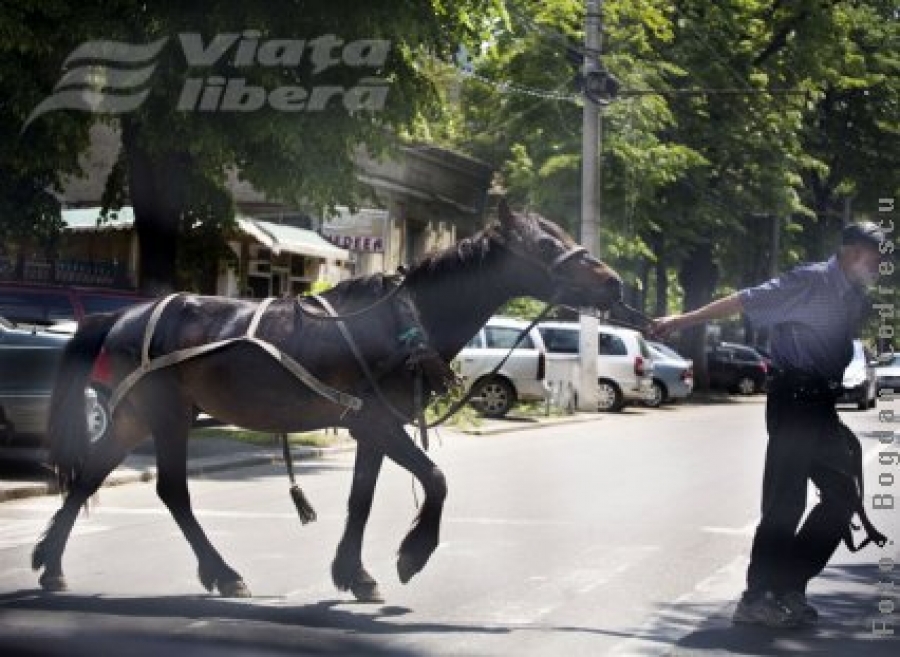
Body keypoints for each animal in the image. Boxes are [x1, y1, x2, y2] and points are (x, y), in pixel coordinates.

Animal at [37, 199, 624, 600]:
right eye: (545, 245)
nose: (614, 283)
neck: (405, 318)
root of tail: (122, 315)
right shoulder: (382, 425)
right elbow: (435, 479)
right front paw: (412, 556)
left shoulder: (372, 428)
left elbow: (360, 500)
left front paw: (354, 574)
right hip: (166, 415)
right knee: (171, 491)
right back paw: (223, 573)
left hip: (135, 419)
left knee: (90, 477)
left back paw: (52, 564)